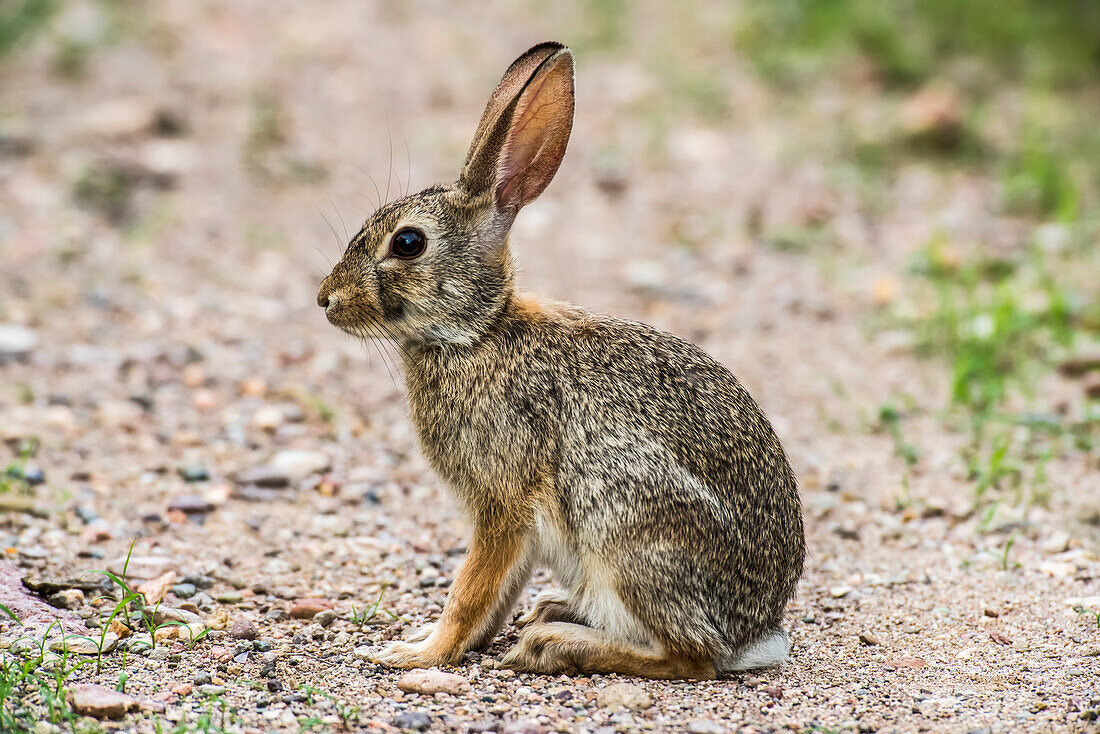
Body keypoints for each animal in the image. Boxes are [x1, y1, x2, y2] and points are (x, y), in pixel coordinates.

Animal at [314, 43, 805, 682]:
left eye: (408, 243)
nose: (326, 299)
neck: (476, 333)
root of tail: (754, 634)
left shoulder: (503, 502)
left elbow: (471, 589)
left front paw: (417, 653)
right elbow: (496, 595)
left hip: (624, 527)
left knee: (689, 657)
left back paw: (553, 644)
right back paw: (553, 612)